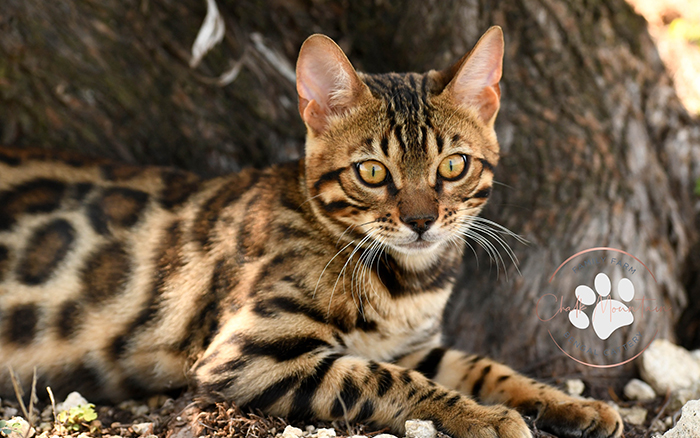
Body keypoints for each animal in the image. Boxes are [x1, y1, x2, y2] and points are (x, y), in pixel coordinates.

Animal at [1, 28, 624, 438]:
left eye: (453, 166)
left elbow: (484, 365)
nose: (421, 221)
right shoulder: (245, 354)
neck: (406, 284)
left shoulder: (417, 345)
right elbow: (386, 380)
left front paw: (566, 403)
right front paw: (485, 418)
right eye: (371, 172)